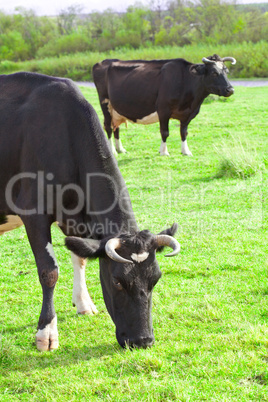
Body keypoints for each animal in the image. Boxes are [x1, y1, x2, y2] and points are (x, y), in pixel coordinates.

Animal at [0, 73, 180, 352]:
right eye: (117, 281)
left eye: (156, 279)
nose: (142, 341)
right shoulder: (33, 212)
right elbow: (49, 271)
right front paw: (46, 332)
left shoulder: (75, 218)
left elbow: (80, 257)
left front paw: (84, 304)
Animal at [93, 54, 236, 157]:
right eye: (214, 72)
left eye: (226, 71)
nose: (230, 89)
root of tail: (104, 62)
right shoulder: (163, 110)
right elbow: (165, 132)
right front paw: (164, 152)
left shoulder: (188, 114)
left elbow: (184, 132)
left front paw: (186, 151)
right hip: (105, 103)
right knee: (108, 127)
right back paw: (112, 151)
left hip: (116, 109)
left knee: (116, 127)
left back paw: (120, 149)